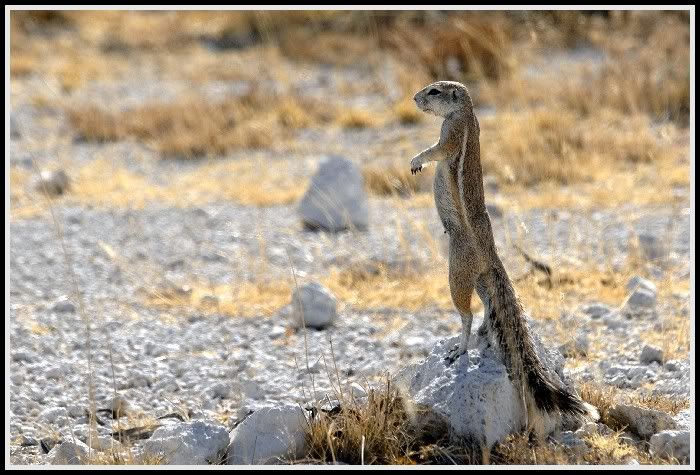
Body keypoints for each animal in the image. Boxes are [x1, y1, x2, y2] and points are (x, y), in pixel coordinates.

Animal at [410, 81, 596, 436]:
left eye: (435, 91)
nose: (414, 98)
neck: (466, 112)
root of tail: (492, 256)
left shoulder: (451, 133)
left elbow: (437, 150)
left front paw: (416, 159)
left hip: (457, 272)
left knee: (467, 313)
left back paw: (461, 347)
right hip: (481, 279)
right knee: (486, 308)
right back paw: (484, 335)